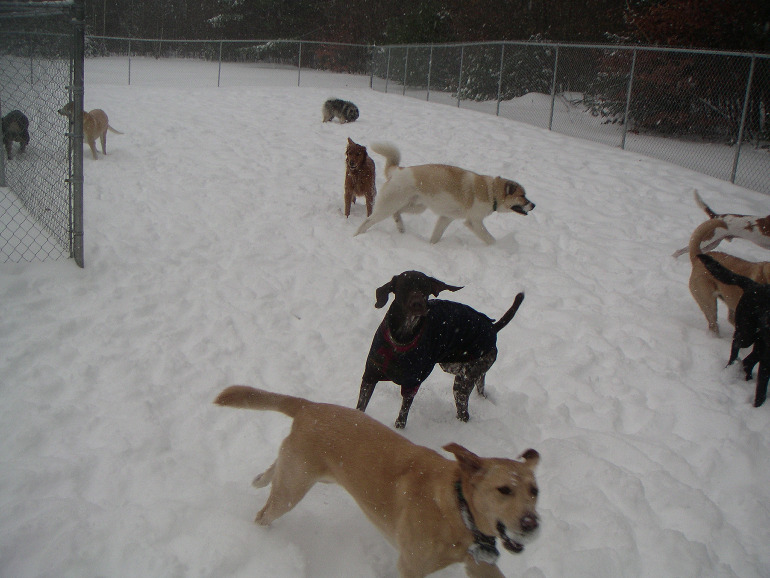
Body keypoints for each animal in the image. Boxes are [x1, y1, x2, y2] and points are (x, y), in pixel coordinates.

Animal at [215, 385, 540, 577]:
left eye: (534, 491)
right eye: (504, 490)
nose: (531, 524)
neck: (456, 507)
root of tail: (310, 406)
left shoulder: (481, 565)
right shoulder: (411, 566)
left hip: (301, 474)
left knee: (272, 473)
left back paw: (260, 479)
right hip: (293, 489)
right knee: (264, 513)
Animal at [355, 143, 534, 245]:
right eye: (522, 196)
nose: (534, 205)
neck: (491, 191)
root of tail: (398, 170)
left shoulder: (446, 218)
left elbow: (436, 236)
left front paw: (431, 247)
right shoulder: (474, 222)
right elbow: (490, 239)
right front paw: (500, 249)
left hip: (415, 207)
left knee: (397, 213)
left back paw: (400, 226)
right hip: (388, 206)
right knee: (367, 222)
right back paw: (356, 236)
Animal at [356, 271, 525, 429]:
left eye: (425, 288)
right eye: (405, 286)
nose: (418, 304)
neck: (402, 338)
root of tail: (493, 328)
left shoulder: (411, 385)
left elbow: (402, 417)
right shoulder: (370, 376)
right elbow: (360, 408)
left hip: (462, 382)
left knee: (464, 413)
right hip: (455, 366)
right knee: (480, 383)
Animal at [698, 254, 770, 407]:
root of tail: (753, 285)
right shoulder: (767, 361)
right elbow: (761, 391)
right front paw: (757, 407)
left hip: (759, 342)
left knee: (748, 361)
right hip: (747, 334)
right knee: (736, 347)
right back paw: (730, 369)